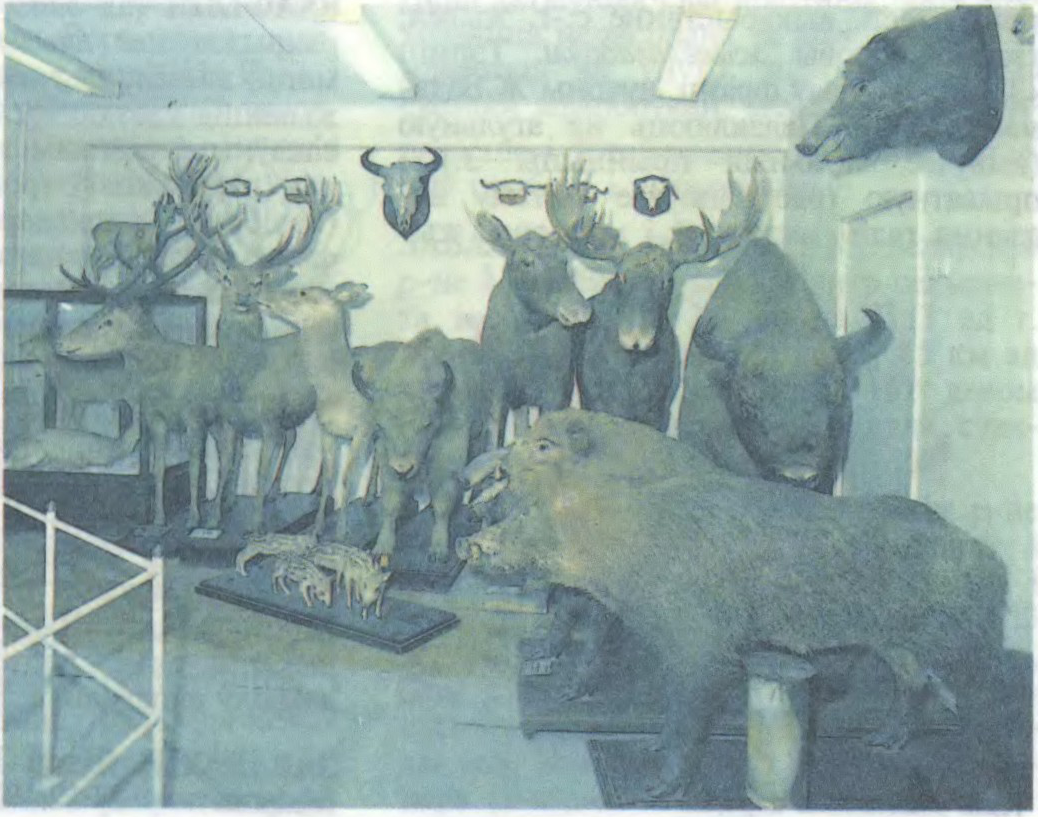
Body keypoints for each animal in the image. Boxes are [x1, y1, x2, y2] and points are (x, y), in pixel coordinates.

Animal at [177, 157, 343, 531]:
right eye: (226, 278)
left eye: (257, 282)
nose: (242, 298)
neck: (246, 377)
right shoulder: (228, 421)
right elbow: (227, 466)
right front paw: (214, 516)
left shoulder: (270, 421)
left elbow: (257, 473)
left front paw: (255, 525)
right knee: (293, 439)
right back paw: (276, 493)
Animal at [352, 328, 494, 559]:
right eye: (381, 425)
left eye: (426, 424)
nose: (403, 469)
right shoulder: (387, 460)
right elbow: (390, 502)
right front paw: (381, 548)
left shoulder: (450, 451)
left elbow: (443, 500)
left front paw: (438, 550)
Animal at [459, 410, 1008, 802]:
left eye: (543, 446)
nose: (471, 538)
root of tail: (985, 555)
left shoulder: (700, 642)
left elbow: (683, 707)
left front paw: (655, 787)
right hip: (894, 641)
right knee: (912, 681)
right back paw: (881, 742)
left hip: (953, 640)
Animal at [475, 213, 591, 445]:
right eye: (526, 261)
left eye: (564, 261)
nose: (578, 310)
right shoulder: (497, 391)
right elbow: (492, 441)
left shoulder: (557, 392)